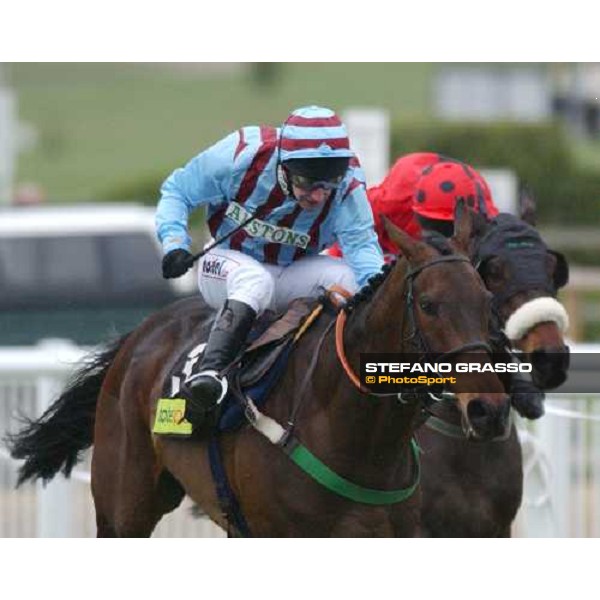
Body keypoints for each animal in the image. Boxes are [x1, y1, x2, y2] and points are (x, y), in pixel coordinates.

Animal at [7, 206, 508, 540]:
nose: (489, 410)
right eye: (429, 305)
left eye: (486, 301)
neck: (355, 433)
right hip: (123, 508)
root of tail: (141, 334)